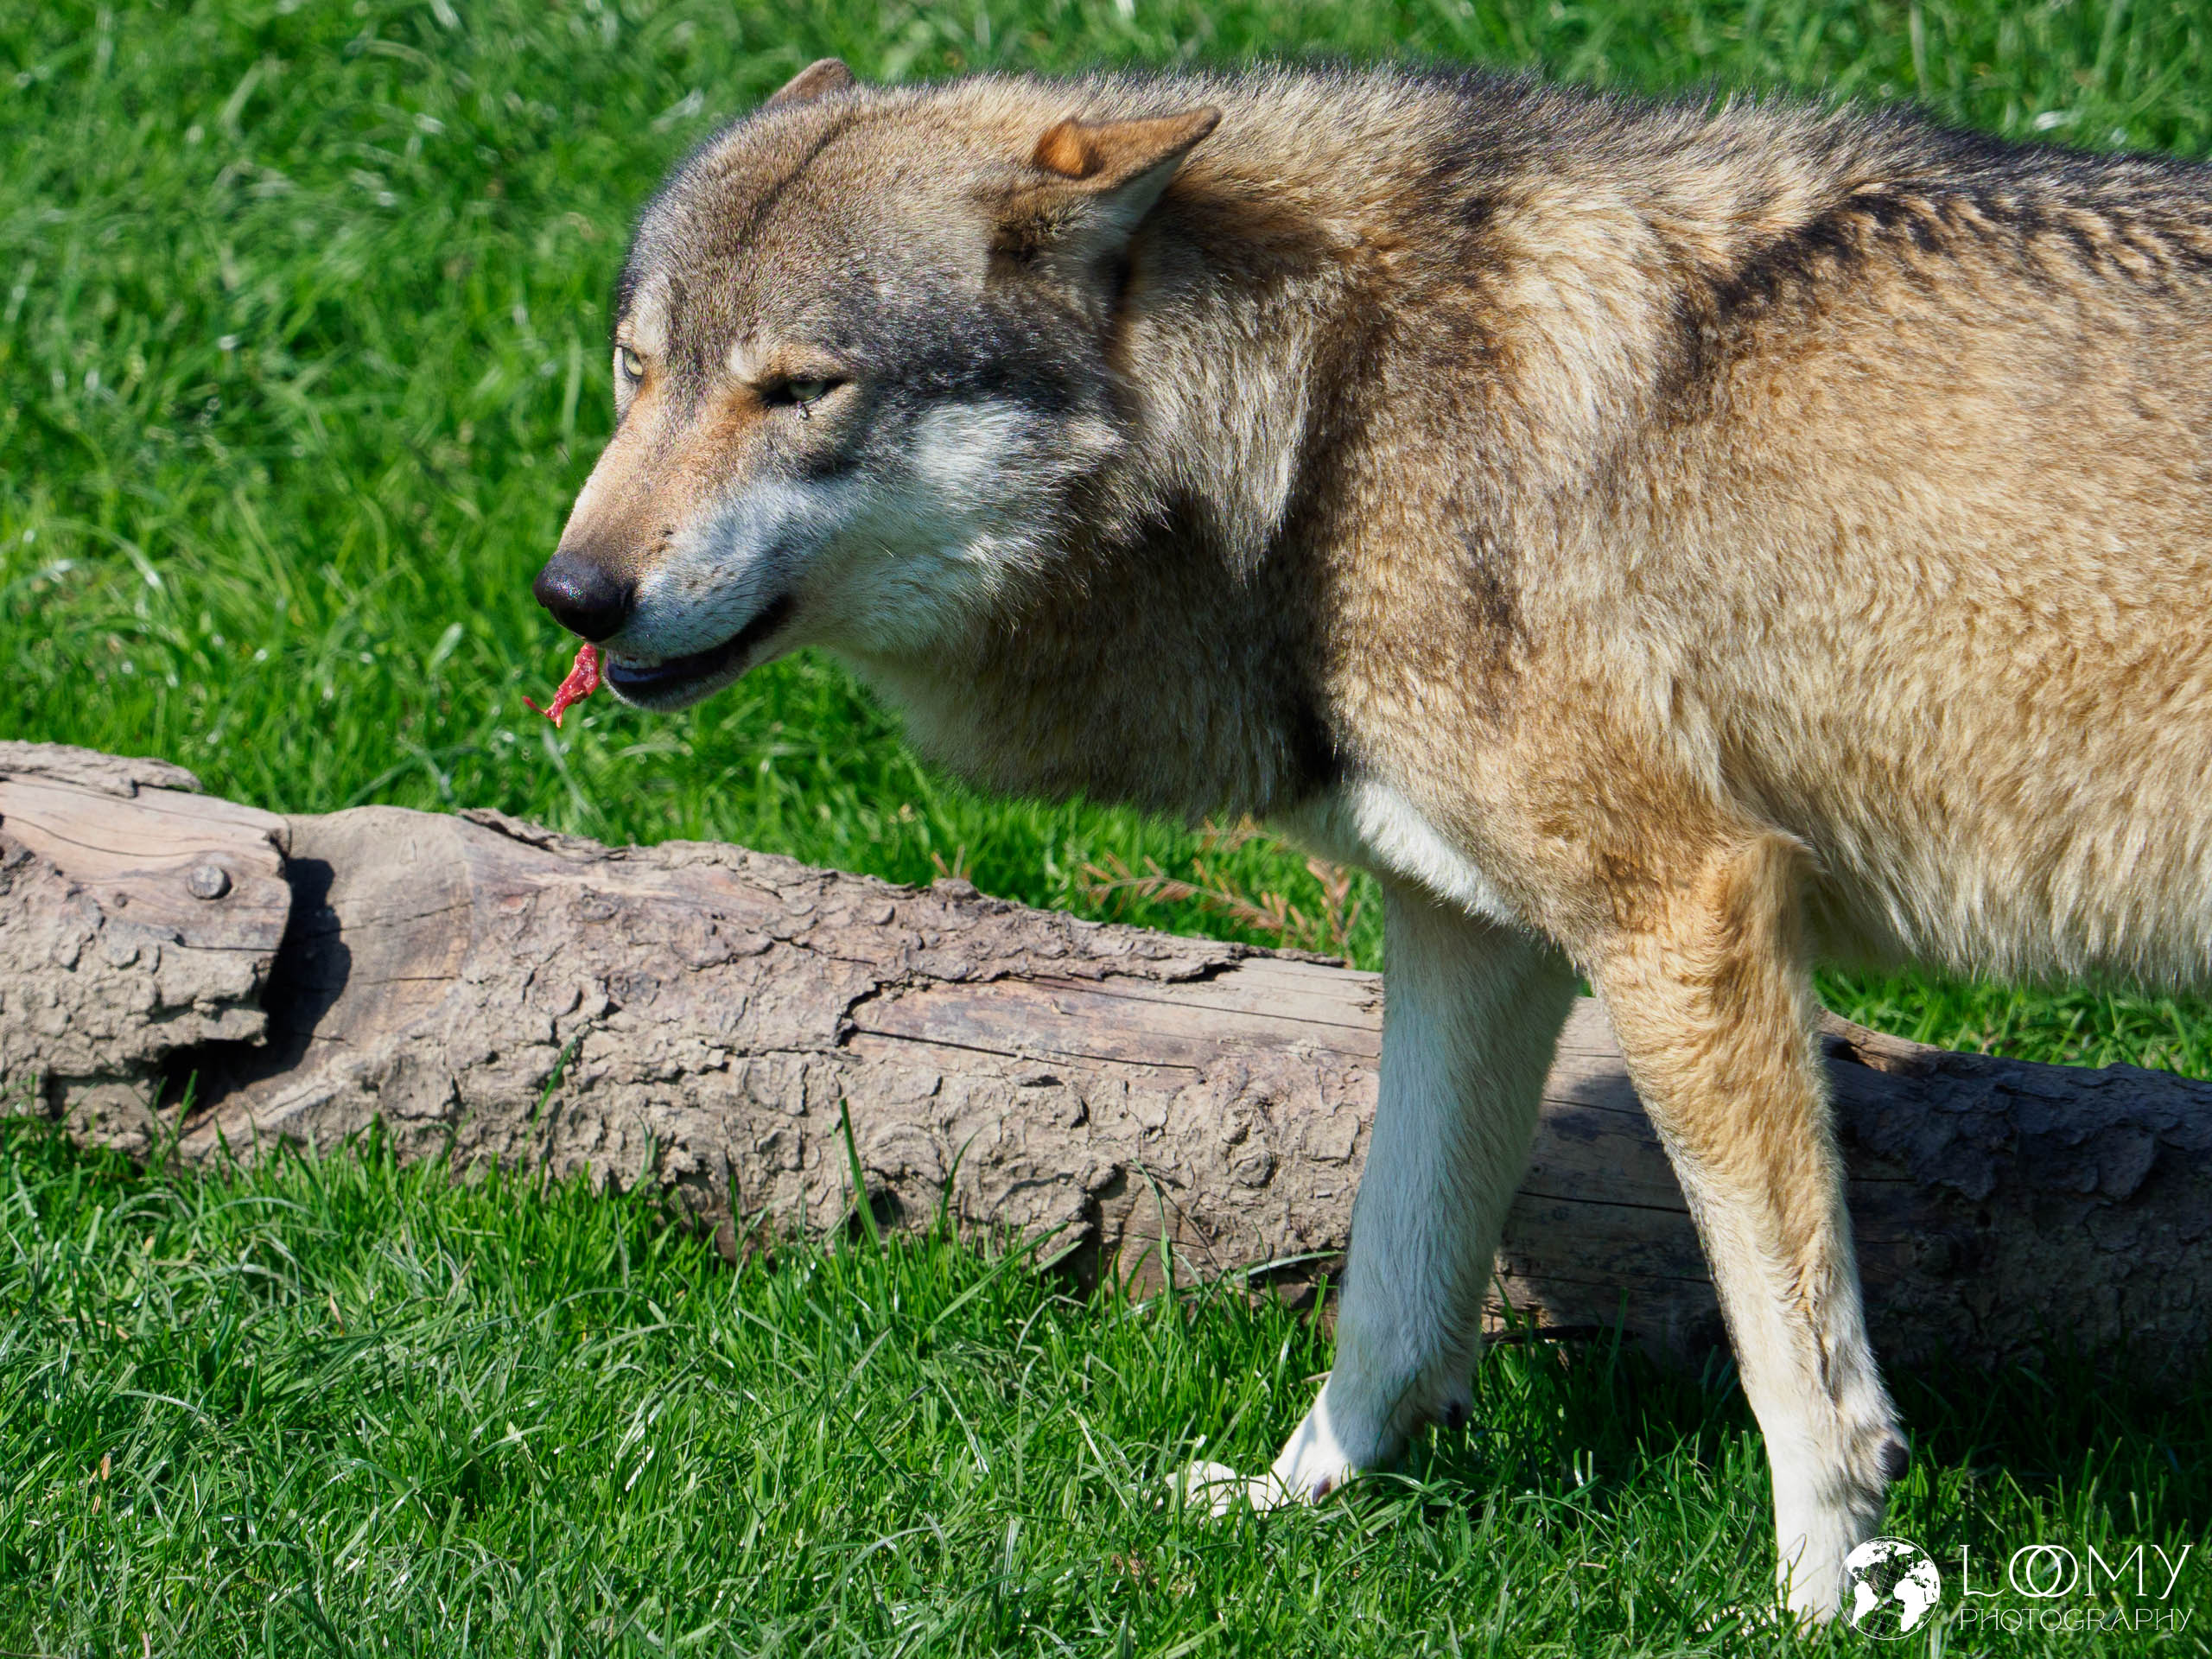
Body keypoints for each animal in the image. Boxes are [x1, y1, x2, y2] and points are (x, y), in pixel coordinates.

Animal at [532, 57, 2212, 1620]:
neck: (1338, 405)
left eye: (797, 388)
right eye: (636, 369)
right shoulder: (1473, 931)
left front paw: (1818, 1607)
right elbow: (1394, 1282)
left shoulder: (1684, 909)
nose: (572, 597)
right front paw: (1299, 1496)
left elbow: (1795, 1365)